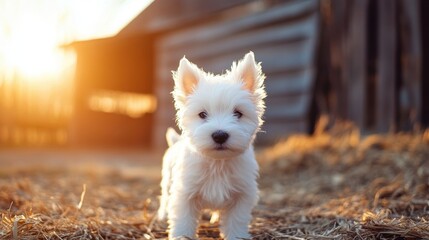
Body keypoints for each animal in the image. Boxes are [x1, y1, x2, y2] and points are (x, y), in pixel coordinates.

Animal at [157, 51, 264, 239]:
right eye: (202, 114)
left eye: (238, 113)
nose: (220, 135)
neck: (217, 163)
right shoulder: (184, 193)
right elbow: (183, 219)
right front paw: (181, 235)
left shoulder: (242, 194)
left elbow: (236, 220)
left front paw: (237, 235)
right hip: (168, 179)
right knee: (164, 198)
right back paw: (162, 216)